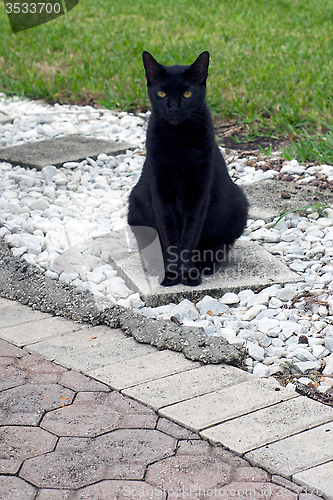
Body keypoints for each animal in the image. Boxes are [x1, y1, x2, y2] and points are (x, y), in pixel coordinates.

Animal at [128, 51, 248, 288]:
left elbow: (189, 237)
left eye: (187, 93)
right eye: (162, 92)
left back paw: (205, 266)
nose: (174, 108)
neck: (178, 143)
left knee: (216, 248)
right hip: (135, 207)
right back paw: (156, 267)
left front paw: (188, 275)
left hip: (238, 207)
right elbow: (170, 239)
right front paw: (171, 275)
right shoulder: (161, 195)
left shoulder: (199, 195)